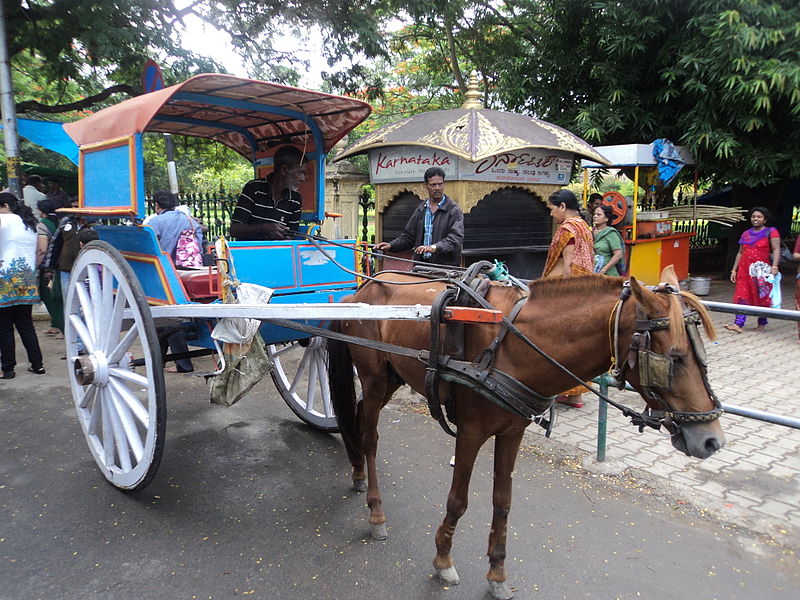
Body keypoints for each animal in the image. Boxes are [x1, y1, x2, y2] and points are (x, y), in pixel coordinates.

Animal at [324, 264, 724, 596]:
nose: (711, 440)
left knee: (358, 417)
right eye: (674, 358)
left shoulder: (511, 432)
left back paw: (357, 472)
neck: (513, 344)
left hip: (392, 377)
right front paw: (443, 559)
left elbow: (503, 502)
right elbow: (458, 500)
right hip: (375, 377)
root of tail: (360, 291)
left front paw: (497, 574)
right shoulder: (470, 432)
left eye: (702, 354)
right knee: (371, 436)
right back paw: (376, 511)